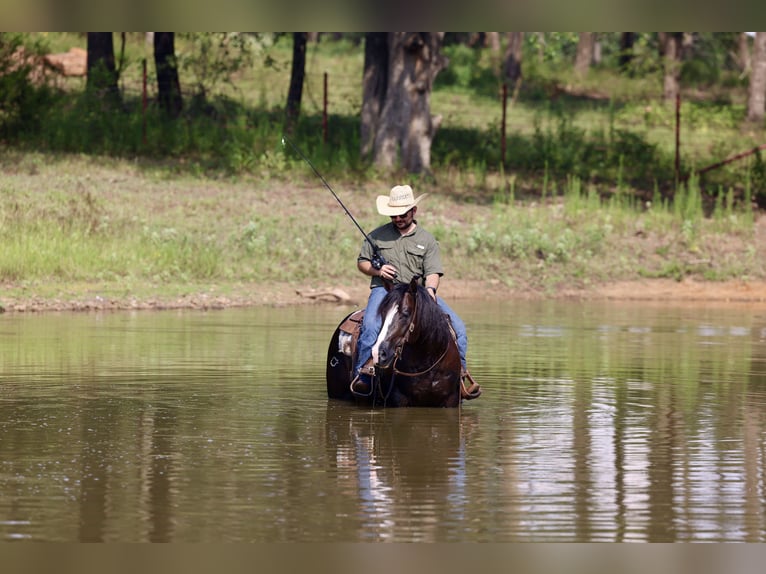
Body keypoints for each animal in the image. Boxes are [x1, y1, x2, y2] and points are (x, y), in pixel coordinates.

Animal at [326, 280, 462, 410]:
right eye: (382, 313)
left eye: (406, 313)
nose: (379, 353)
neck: (428, 364)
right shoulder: (399, 399)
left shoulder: (451, 400)